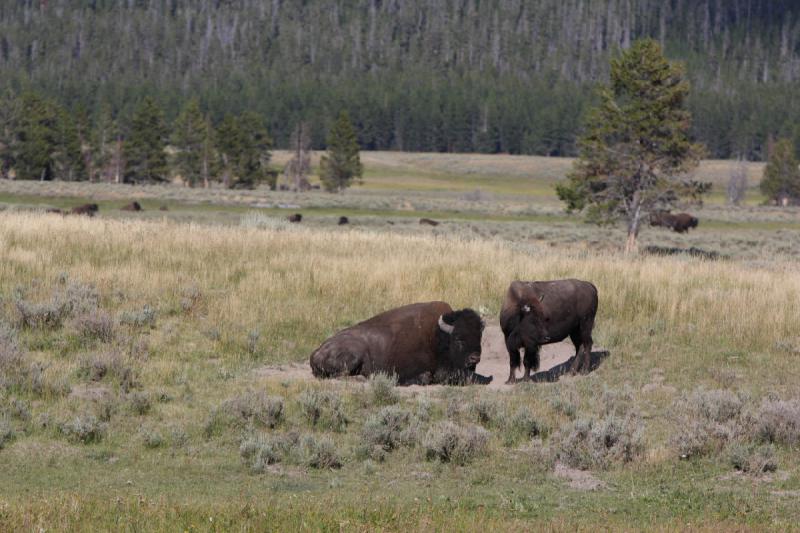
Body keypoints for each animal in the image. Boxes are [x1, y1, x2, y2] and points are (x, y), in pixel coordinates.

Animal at [310, 302, 490, 384]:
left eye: (479, 336)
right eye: (459, 338)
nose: (475, 358)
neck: (438, 337)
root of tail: (315, 352)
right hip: (353, 355)